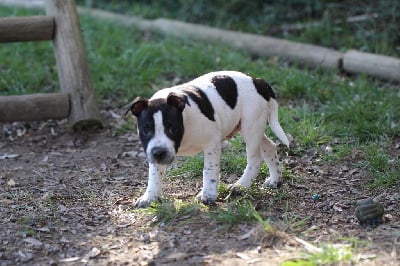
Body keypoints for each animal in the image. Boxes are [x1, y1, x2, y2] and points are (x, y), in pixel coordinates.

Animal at [126, 70, 290, 208]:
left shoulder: (212, 144)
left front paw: (208, 195)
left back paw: (241, 185)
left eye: (172, 129)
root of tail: (257, 81)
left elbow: (209, 170)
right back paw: (275, 179)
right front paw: (150, 197)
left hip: (251, 127)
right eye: (146, 130)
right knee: (269, 146)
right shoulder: (155, 149)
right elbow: (154, 175)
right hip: (250, 128)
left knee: (255, 159)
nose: (159, 153)